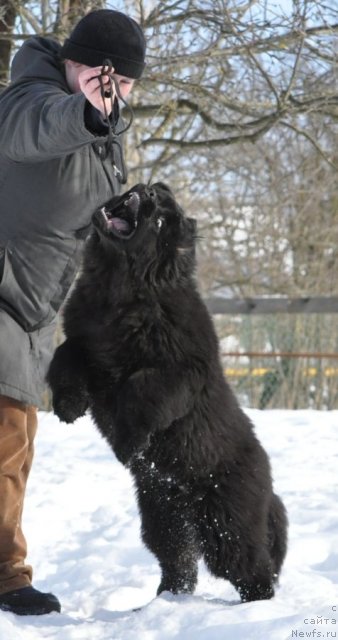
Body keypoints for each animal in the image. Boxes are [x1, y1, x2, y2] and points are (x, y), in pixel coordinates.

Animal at [47, 182, 286, 604]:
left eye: (159, 220)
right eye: (155, 194)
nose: (148, 190)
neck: (122, 292)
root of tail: (267, 478)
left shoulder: (179, 369)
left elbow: (142, 389)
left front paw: (127, 443)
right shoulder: (86, 340)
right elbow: (65, 356)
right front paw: (69, 405)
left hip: (227, 522)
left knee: (252, 568)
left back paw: (255, 607)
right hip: (163, 512)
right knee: (178, 562)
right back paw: (159, 603)